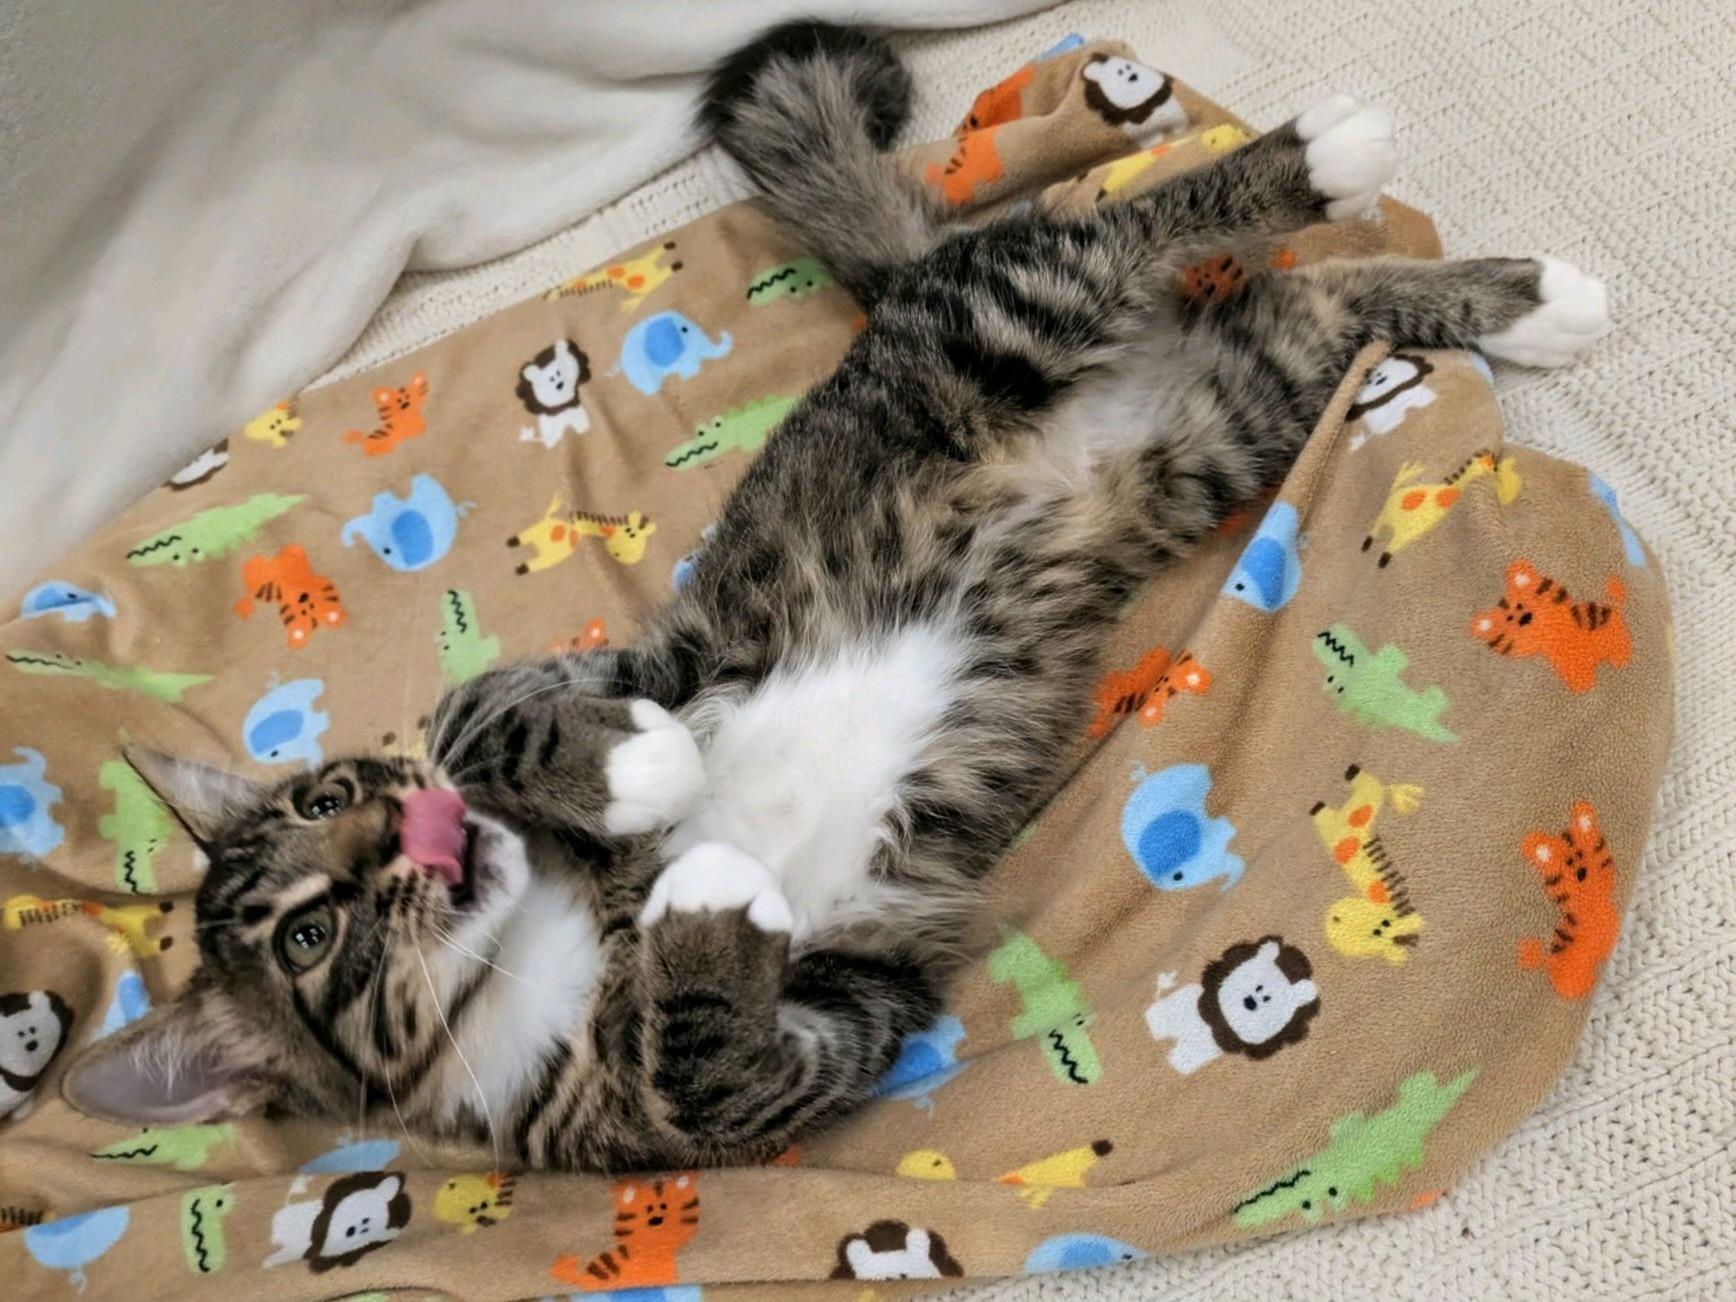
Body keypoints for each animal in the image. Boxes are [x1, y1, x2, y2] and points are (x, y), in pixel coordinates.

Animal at [1469, 558, 1630, 693]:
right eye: (1509, 618)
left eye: (1520, 605)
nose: (1524, 618)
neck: (1559, 634)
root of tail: (1615, 608)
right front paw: (1583, 685)